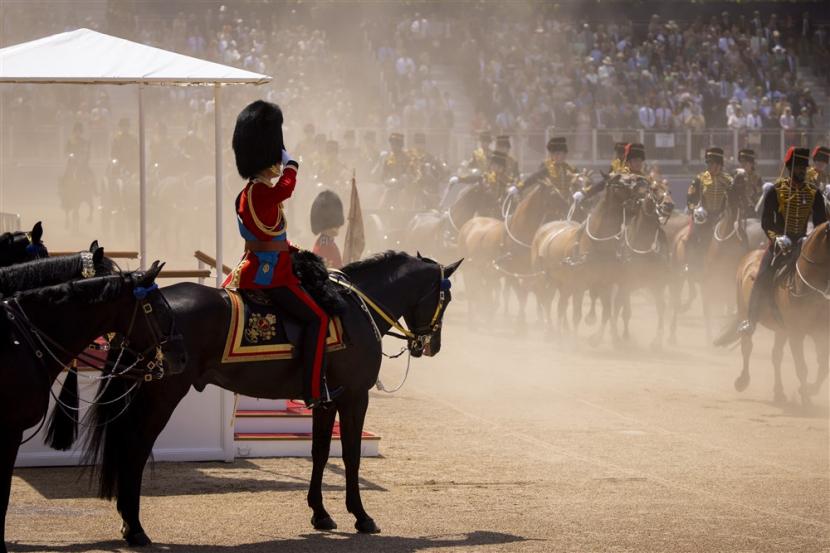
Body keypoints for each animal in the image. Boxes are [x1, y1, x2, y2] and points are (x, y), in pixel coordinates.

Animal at [79, 252, 462, 544]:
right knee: (136, 449)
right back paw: (135, 527)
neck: (355, 308)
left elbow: (320, 453)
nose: (433, 345)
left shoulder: (326, 399)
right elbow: (351, 457)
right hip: (163, 395)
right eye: (446, 299)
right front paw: (361, 515)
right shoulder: (355, 397)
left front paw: (320, 513)